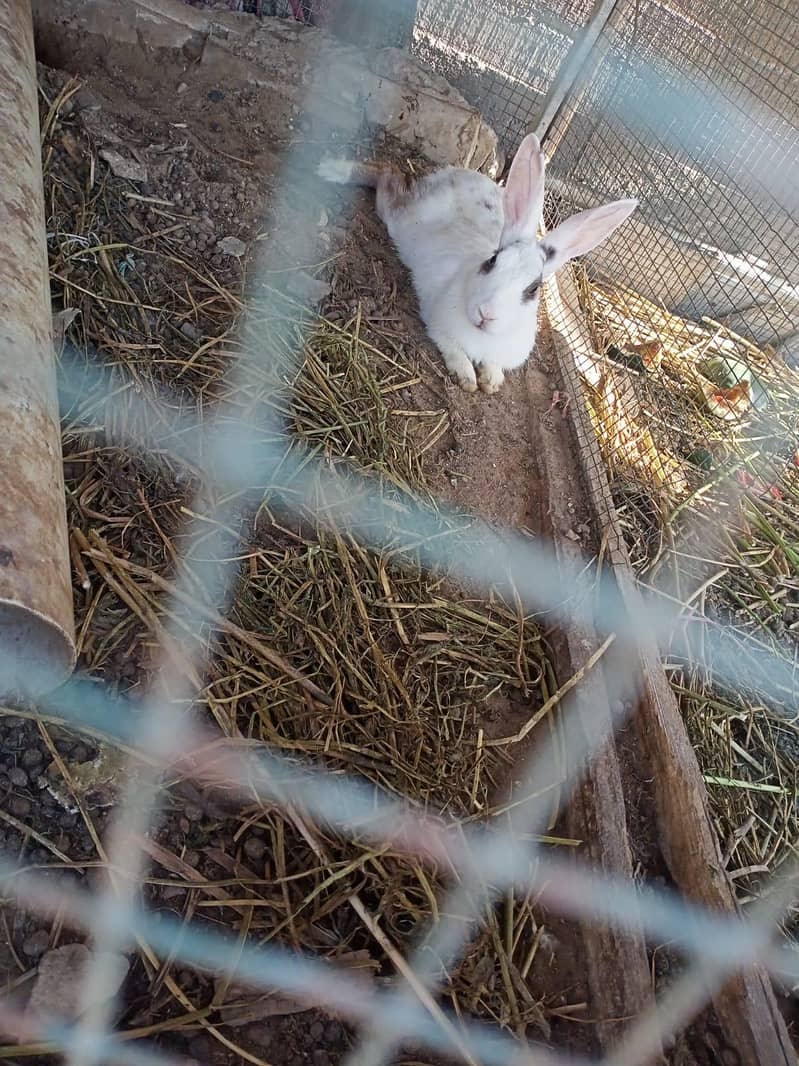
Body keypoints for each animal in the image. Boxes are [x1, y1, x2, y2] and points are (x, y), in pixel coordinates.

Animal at [318, 134, 638, 394]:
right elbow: (455, 352)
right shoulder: (439, 328)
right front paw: (468, 379)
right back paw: (331, 170)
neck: (483, 335)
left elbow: (493, 366)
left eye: (533, 289)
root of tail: (453, 174)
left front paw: (491, 382)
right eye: (492, 260)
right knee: (387, 174)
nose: (486, 314)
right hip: (398, 216)